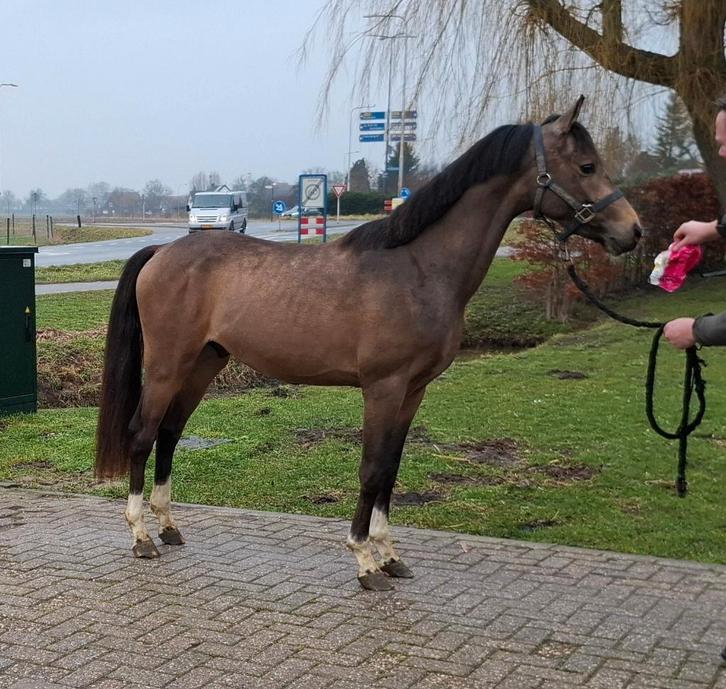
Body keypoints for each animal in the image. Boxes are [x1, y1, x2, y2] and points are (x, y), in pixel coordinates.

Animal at [95, 97, 641, 591]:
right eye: (587, 166)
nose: (632, 231)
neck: (419, 269)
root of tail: (163, 250)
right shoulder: (383, 386)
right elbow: (372, 468)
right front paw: (364, 560)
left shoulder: (414, 390)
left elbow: (391, 470)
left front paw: (390, 554)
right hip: (168, 364)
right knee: (142, 434)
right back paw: (141, 535)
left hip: (205, 363)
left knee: (169, 433)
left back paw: (168, 526)